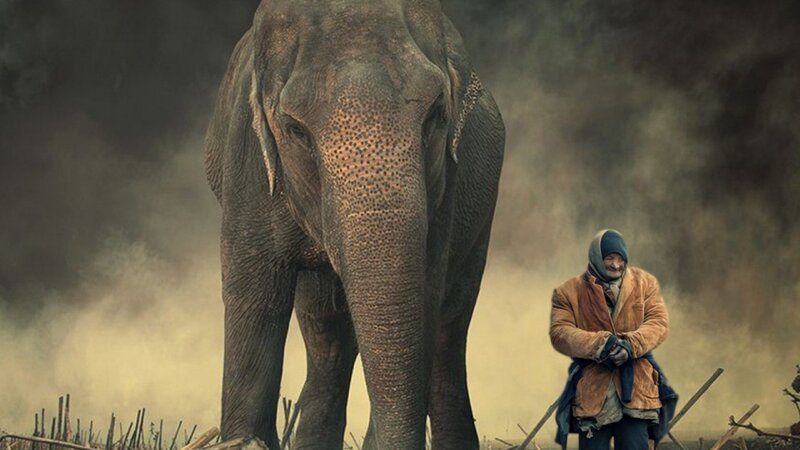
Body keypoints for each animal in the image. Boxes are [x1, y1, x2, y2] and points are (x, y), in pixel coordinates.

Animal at [204, 0, 504, 449]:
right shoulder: (248, 163)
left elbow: (425, 296)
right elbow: (256, 294)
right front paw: (244, 441)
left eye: (436, 114)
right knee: (325, 332)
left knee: (449, 327)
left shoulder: (445, 187)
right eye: (295, 130)